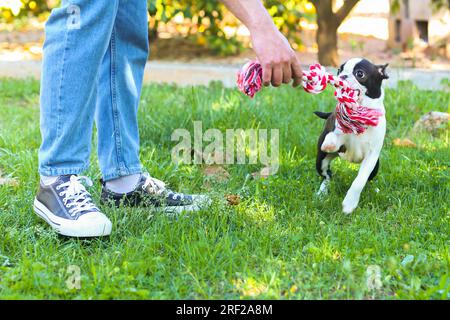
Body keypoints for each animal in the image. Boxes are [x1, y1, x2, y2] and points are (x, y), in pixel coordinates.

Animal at [314, 58, 388, 214]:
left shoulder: (372, 156)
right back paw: (322, 193)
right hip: (321, 159)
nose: (342, 76)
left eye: (360, 74)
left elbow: (360, 180)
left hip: (376, 167)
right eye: (339, 70)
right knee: (327, 175)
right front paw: (330, 142)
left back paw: (374, 190)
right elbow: (335, 137)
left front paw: (349, 203)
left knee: (368, 180)